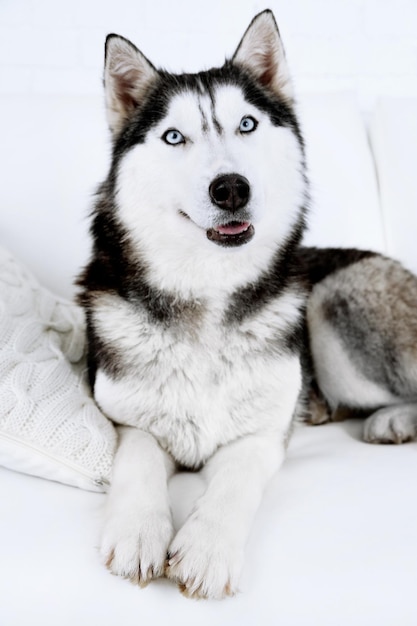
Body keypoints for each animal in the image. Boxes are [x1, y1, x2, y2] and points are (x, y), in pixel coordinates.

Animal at [77, 8, 416, 596]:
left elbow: (234, 483)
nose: (230, 188)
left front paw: (207, 549)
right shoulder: (126, 421)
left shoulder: (262, 436)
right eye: (173, 137)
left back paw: (391, 420)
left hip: (332, 301)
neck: (209, 294)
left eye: (247, 125)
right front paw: (140, 532)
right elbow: (138, 460)